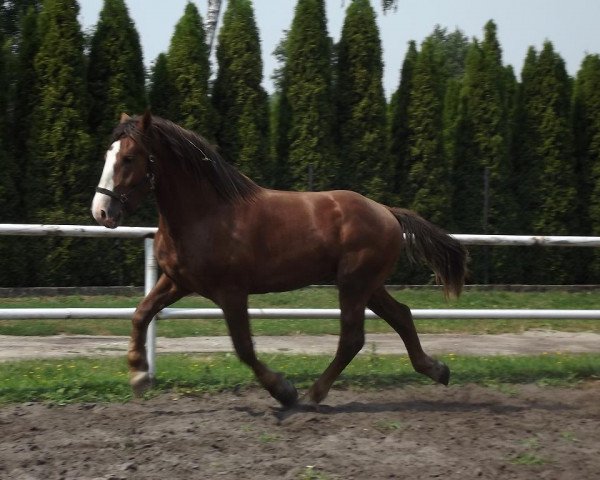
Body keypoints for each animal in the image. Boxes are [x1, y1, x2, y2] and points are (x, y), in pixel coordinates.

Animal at [92, 111, 468, 404]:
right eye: (107, 154)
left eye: (129, 158)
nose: (101, 211)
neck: (207, 214)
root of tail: (387, 212)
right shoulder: (177, 281)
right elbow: (141, 314)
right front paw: (139, 375)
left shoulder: (231, 292)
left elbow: (244, 347)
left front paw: (283, 391)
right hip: (368, 286)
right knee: (401, 316)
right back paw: (437, 370)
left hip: (353, 285)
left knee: (352, 338)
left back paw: (313, 394)